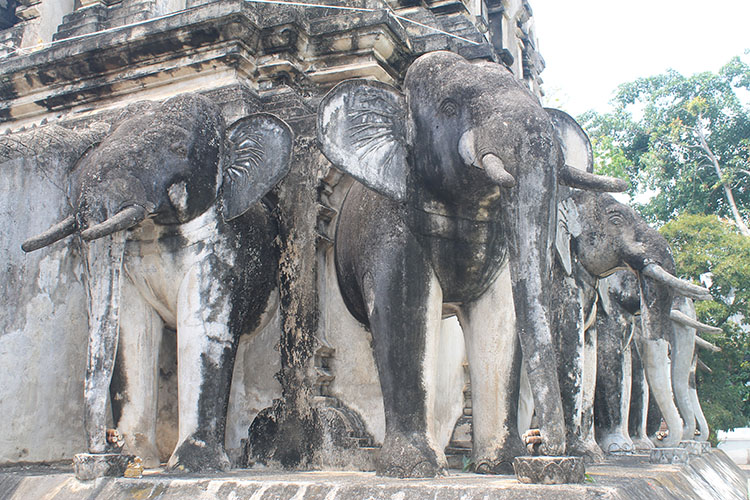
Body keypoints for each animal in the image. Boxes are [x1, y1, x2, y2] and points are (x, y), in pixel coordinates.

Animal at [21, 93, 293, 471]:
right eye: (102, 141)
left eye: (178, 147)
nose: (107, 447)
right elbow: (130, 335)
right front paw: (139, 458)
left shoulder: (226, 249)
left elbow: (205, 333)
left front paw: (192, 465)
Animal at [317, 50, 627, 477]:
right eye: (449, 107)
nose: (548, 454)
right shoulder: (387, 230)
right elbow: (403, 317)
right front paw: (414, 467)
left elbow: (502, 323)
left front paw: (503, 463)